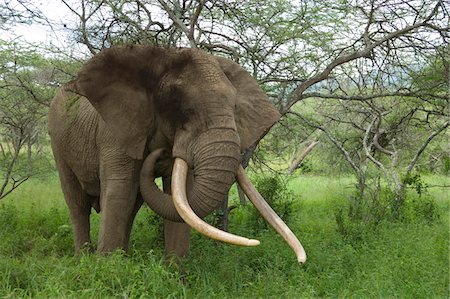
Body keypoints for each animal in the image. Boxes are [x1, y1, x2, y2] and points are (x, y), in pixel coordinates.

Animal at [48, 44, 306, 262]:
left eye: (234, 108)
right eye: (180, 109)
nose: (159, 154)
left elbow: (179, 197)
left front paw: (174, 276)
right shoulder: (116, 131)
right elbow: (120, 192)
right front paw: (108, 270)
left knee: (133, 206)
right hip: (57, 139)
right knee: (77, 203)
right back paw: (84, 259)